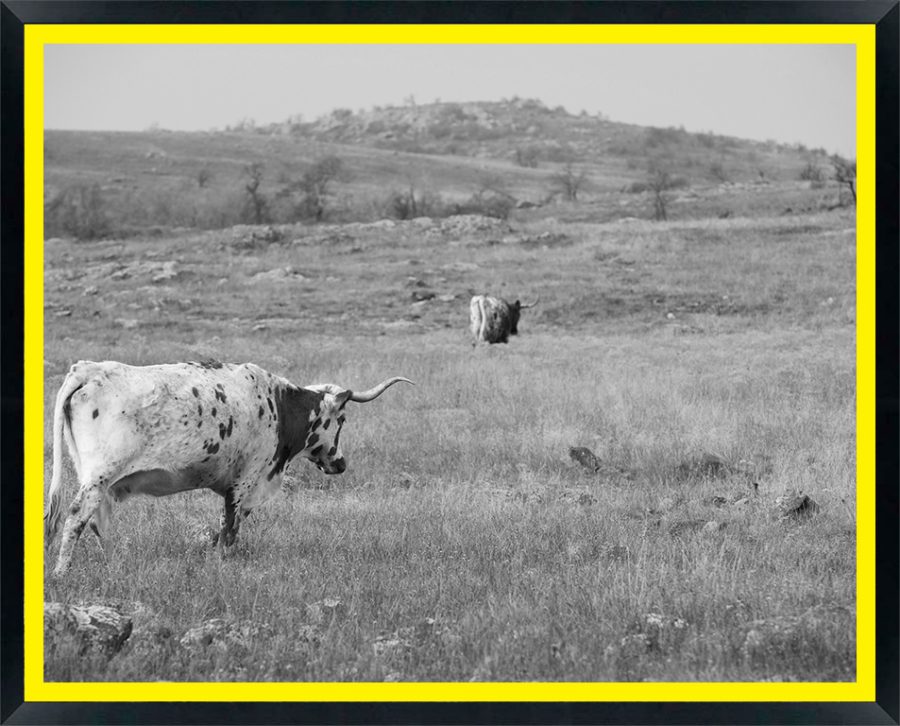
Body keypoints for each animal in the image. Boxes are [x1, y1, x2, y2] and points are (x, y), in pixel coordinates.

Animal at [44, 359, 413, 575]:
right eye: (342, 419)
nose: (341, 464)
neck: (278, 405)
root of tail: (89, 369)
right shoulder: (245, 482)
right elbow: (230, 528)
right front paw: (224, 562)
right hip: (98, 476)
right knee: (77, 517)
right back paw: (62, 573)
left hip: (98, 479)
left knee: (95, 521)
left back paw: (114, 565)